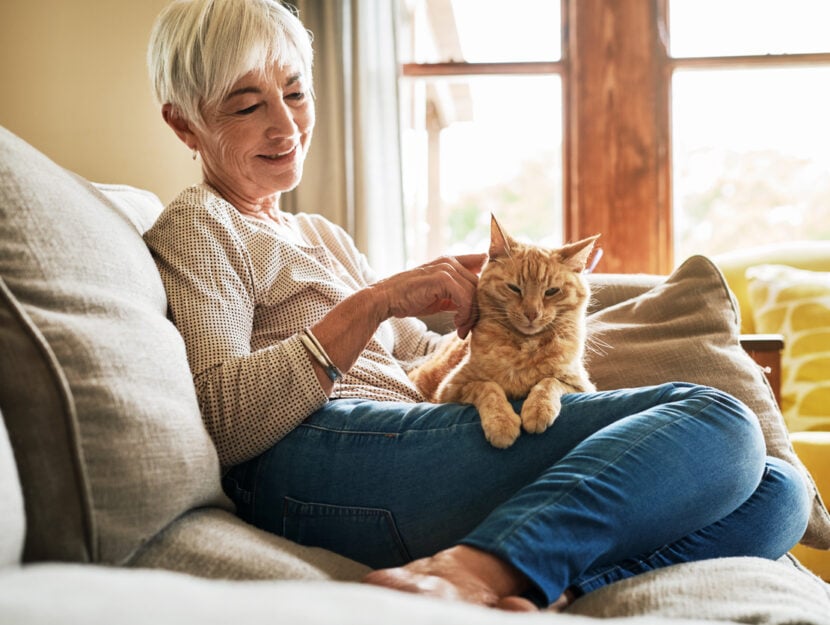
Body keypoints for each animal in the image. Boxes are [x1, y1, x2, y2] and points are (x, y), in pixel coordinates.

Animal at [410, 217, 600, 446]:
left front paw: (538, 409)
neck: (525, 346)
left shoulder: (581, 385)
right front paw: (502, 423)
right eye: (514, 288)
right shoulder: (450, 390)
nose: (532, 313)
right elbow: (488, 387)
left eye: (552, 291)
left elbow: (549, 381)